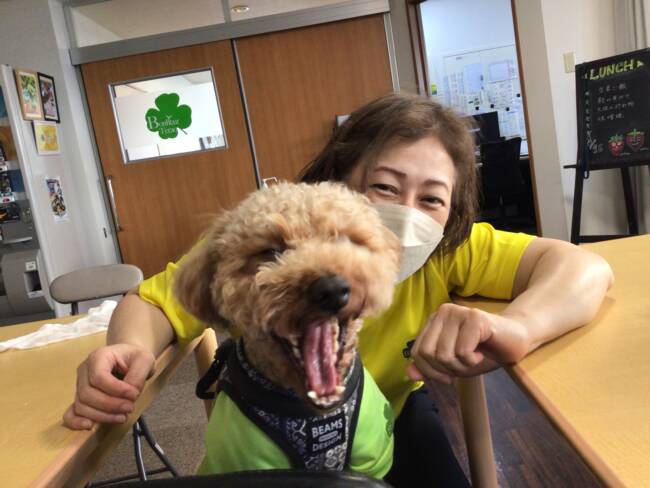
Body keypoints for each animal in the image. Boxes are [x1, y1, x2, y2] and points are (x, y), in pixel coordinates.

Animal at [174, 181, 400, 477]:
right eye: (271, 252)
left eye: (348, 241)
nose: (330, 289)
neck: (314, 416)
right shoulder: (247, 460)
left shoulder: (372, 458)